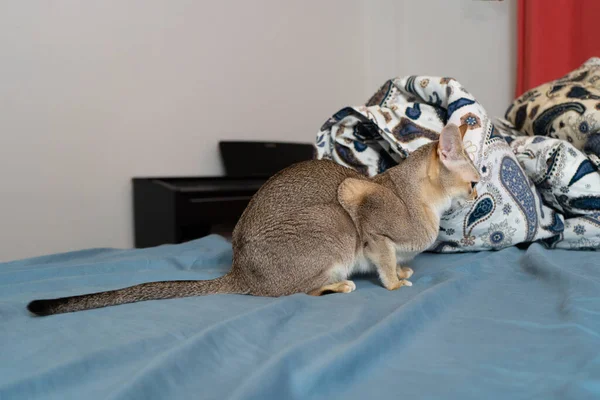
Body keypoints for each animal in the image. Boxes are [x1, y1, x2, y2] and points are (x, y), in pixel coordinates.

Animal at [27, 122, 478, 316]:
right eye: (474, 181)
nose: (479, 195)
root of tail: (240, 272)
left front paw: (402, 271)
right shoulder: (356, 199)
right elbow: (382, 258)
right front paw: (395, 282)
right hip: (331, 223)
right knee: (298, 292)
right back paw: (339, 285)